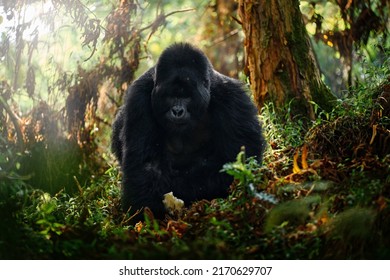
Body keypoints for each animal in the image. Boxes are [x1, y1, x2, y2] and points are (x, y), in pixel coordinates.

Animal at [112, 43, 266, 219]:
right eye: (171, 96)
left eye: (187, 96)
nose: (177, 111)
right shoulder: (138, 97)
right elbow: (146, 165)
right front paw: (145, 213)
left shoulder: (232, 97)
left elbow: (237, 161)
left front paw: (181, 188)